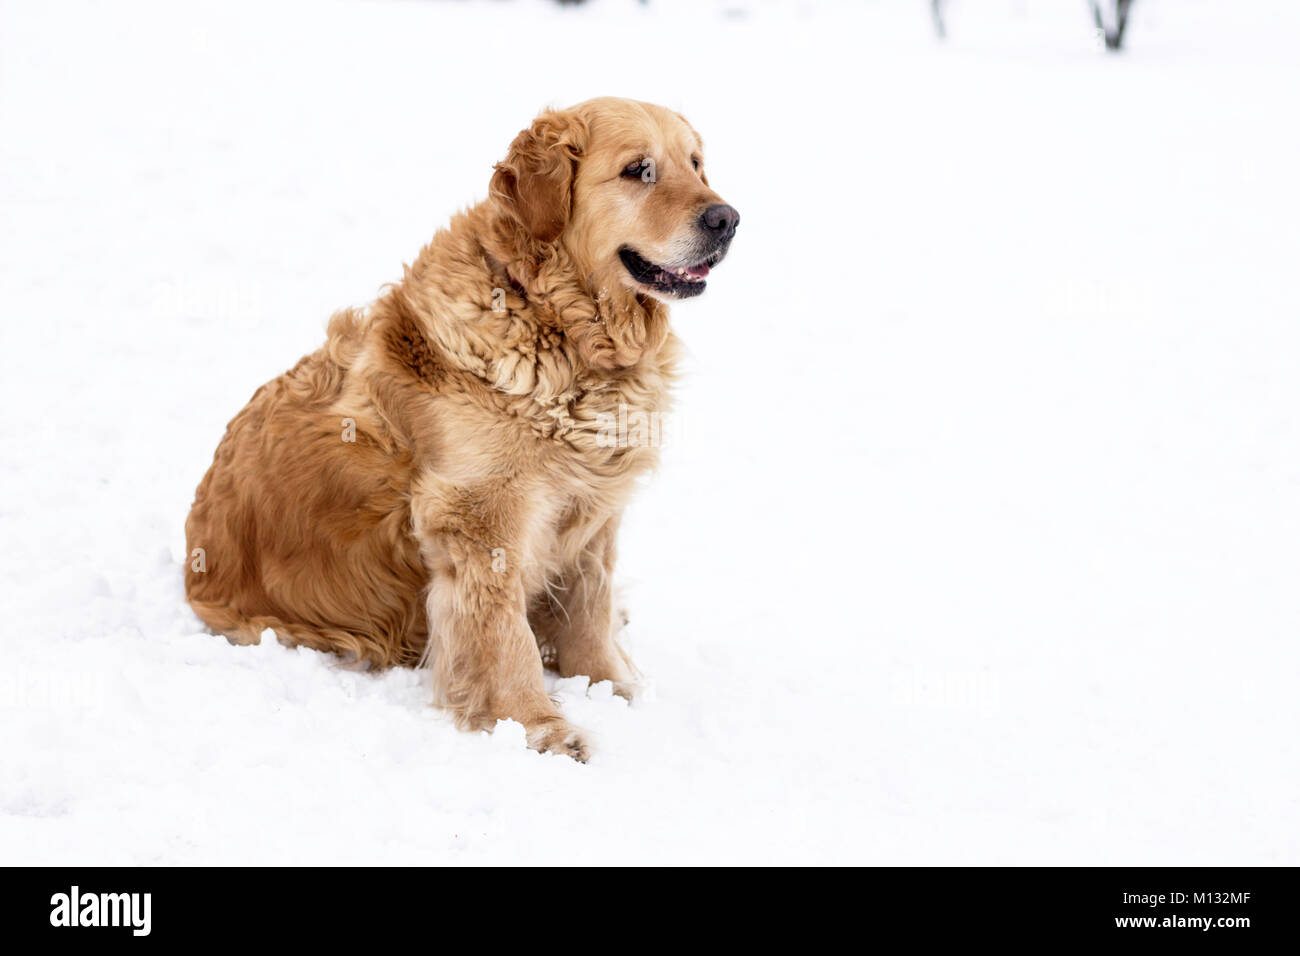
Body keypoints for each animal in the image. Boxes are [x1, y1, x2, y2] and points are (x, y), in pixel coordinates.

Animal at [183, 98, 738, 764]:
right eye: (638, 169)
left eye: (696, 164)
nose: (728, 219)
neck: (555, 320)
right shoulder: (480, 515)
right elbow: (502, 634)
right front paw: (535, 725)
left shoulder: (592, 502)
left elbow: (589, 604)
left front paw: (611, 686)